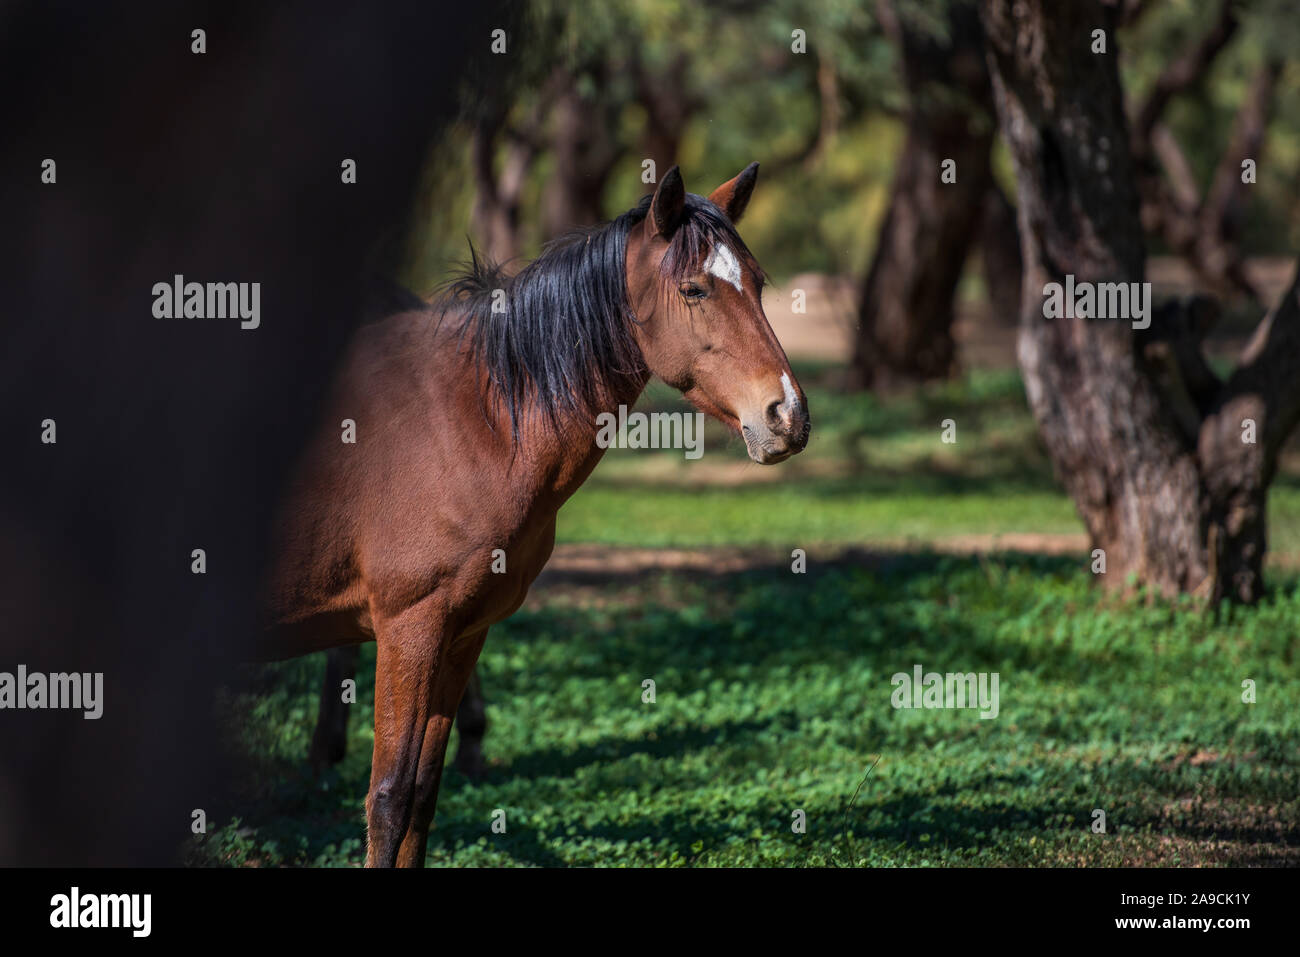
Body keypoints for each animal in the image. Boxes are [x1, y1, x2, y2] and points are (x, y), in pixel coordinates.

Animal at [262, 164, 806, 868]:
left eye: (759, 284)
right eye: (693, 289)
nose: (787, 416)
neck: (470, 420)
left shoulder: (460, 634)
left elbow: (420, 798)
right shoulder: (409, 630)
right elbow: (388, 800)